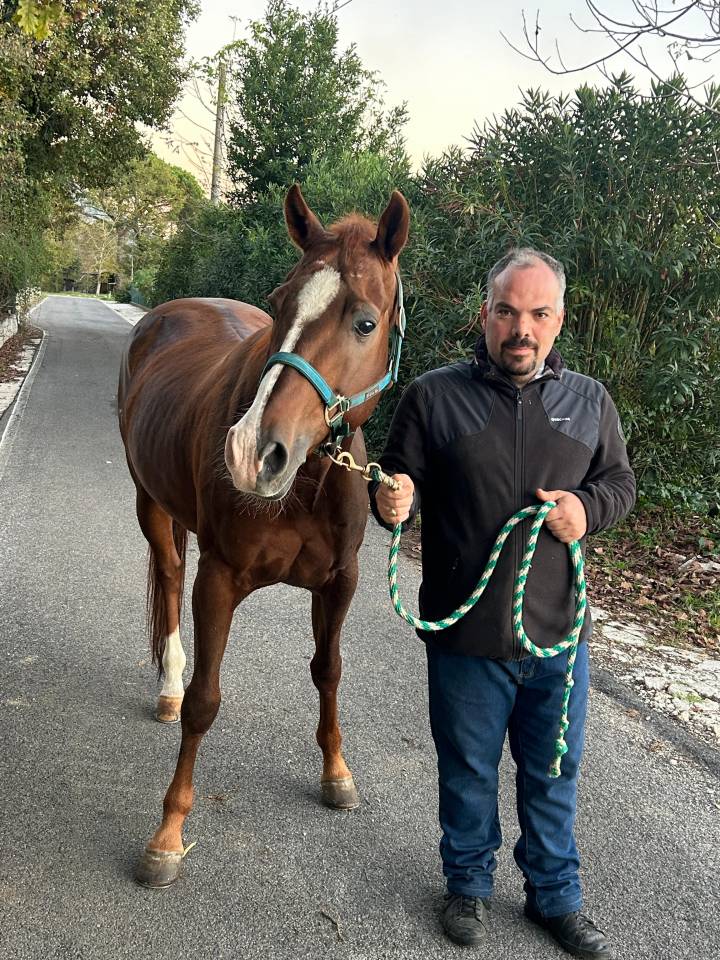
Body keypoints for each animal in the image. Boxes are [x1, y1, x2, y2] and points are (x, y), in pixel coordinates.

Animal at [118, 185, 410, 887]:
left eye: (365, 322)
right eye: (279, 305)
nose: (253, 453)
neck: (306, 481)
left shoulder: (339, 582)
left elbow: (328, 670)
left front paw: (336, 773)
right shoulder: (219, 578)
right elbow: (205, 700)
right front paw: (168, 833)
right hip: (152, 506)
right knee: (169, 577)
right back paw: (167, 686)